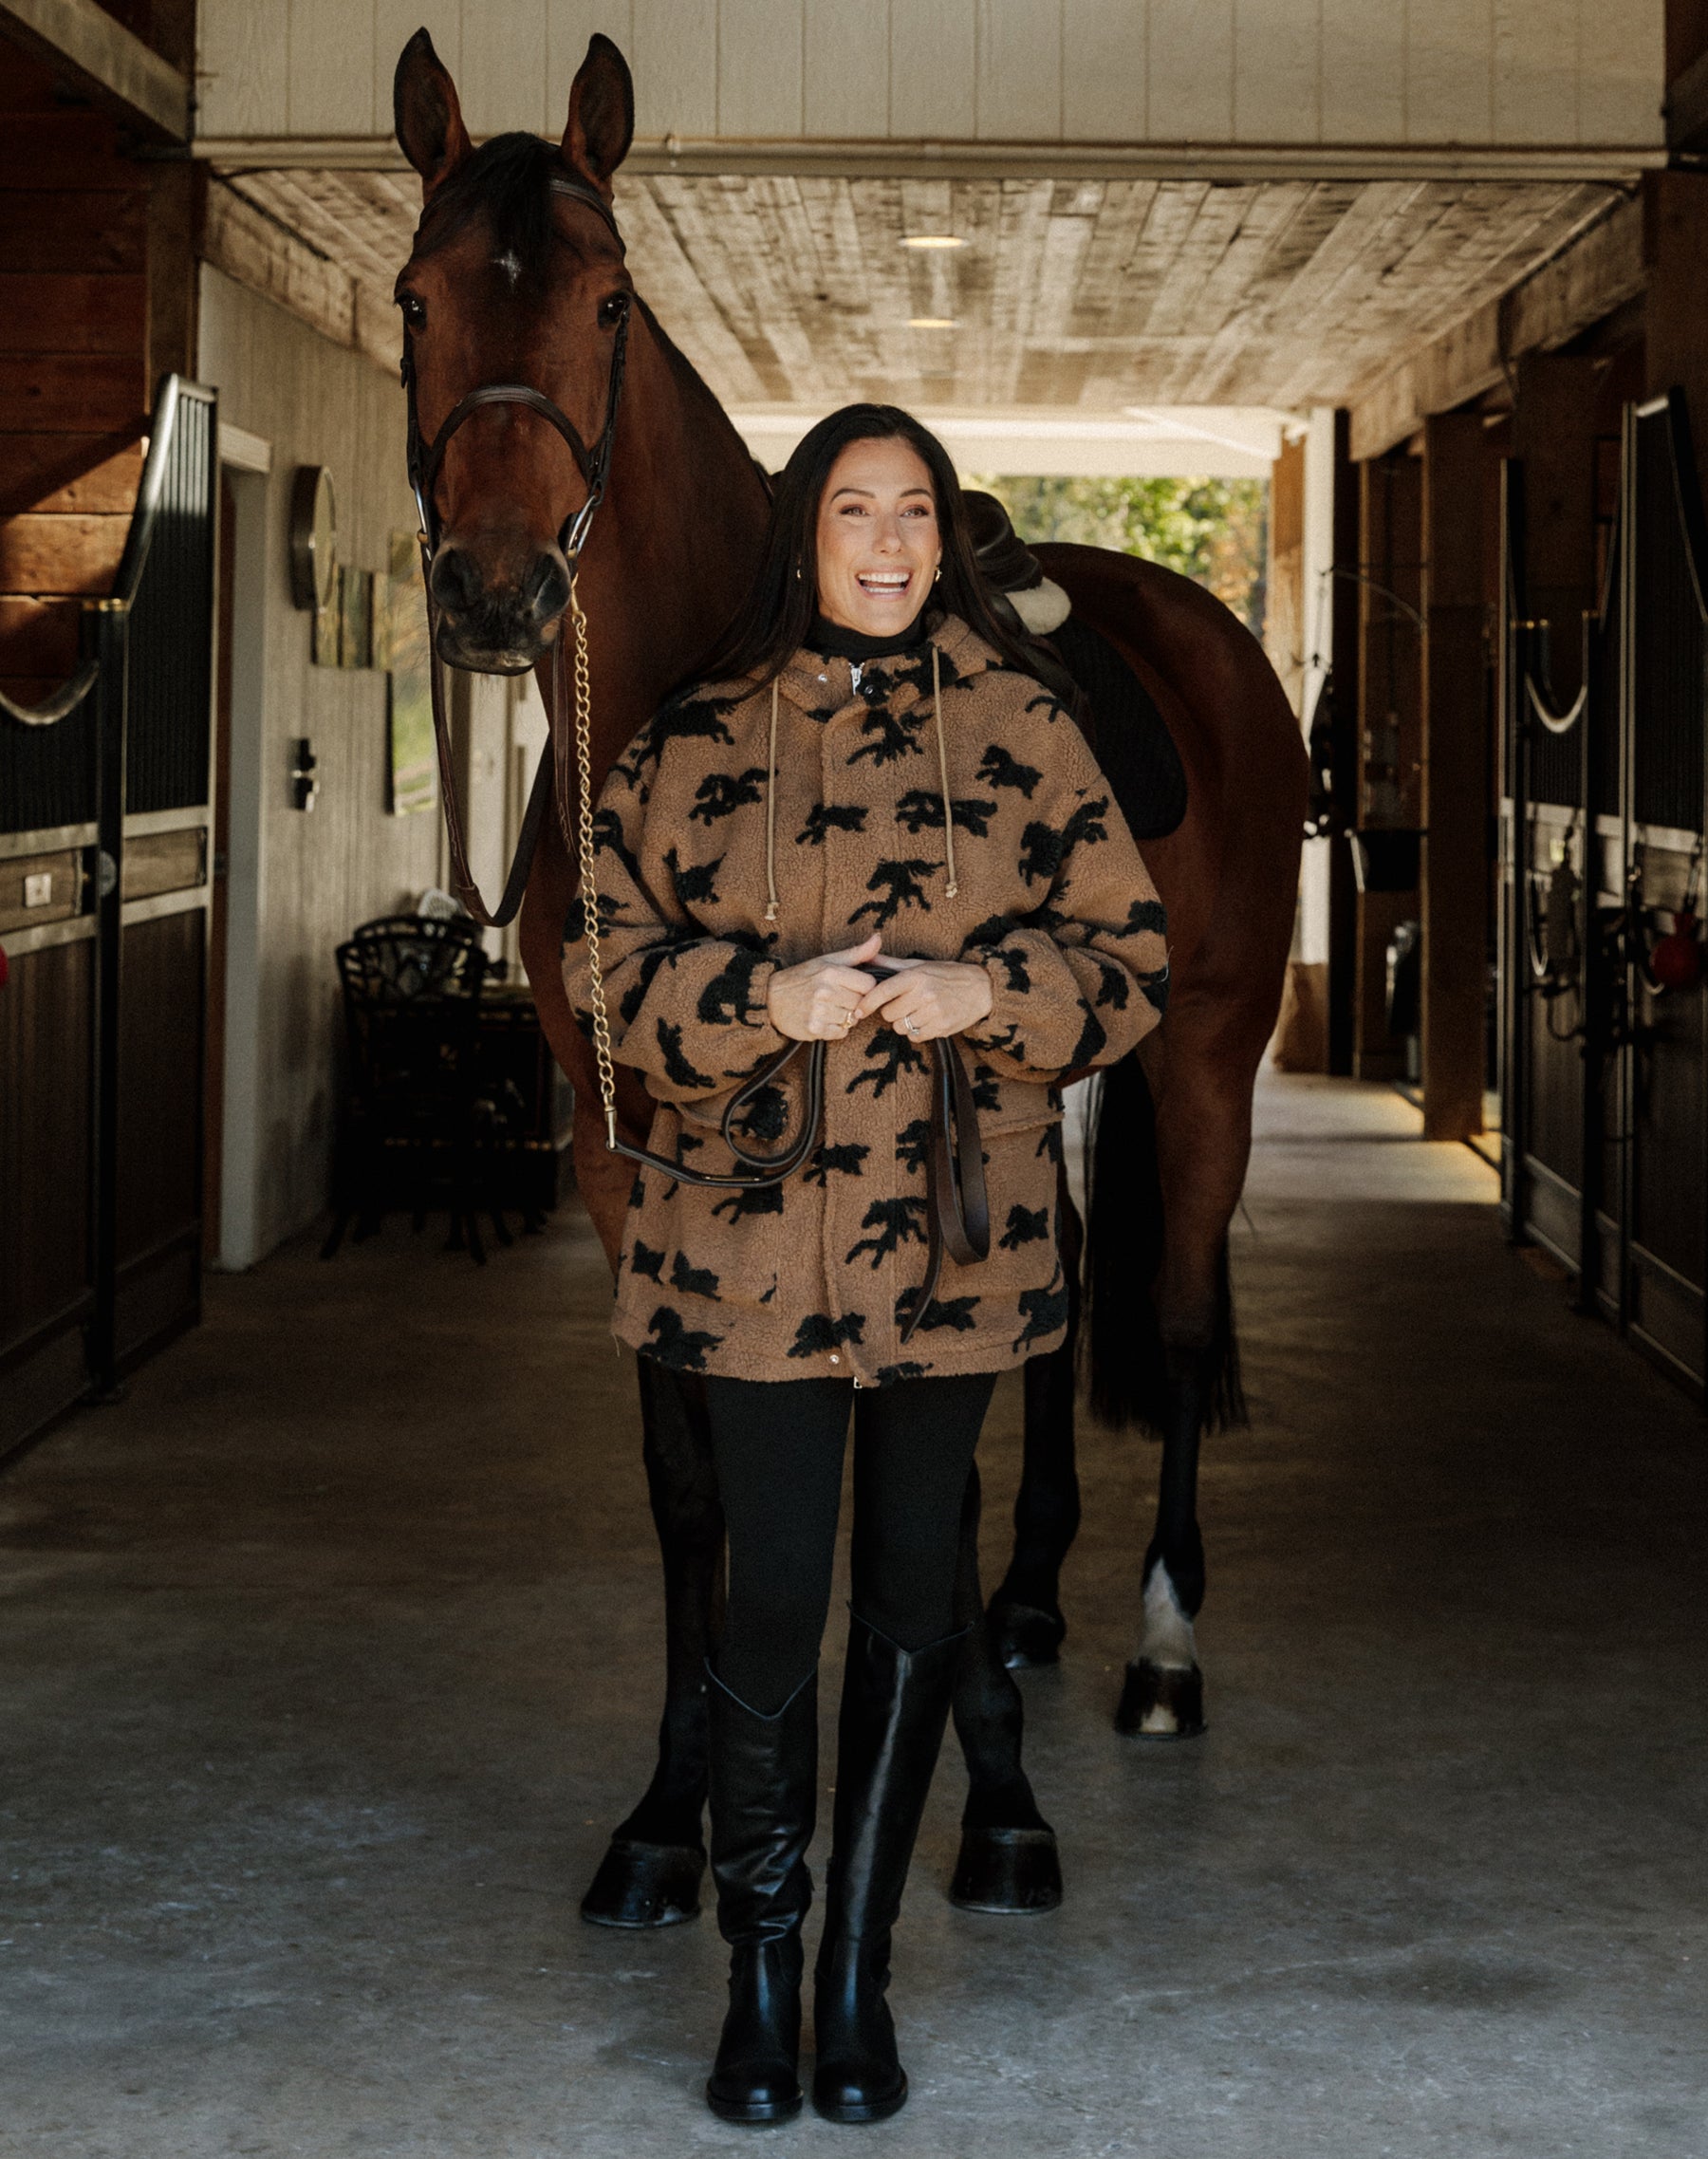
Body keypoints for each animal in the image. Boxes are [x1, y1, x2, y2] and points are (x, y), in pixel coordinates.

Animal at [389, 27, 1304, 1928]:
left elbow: (917, 1486)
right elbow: (694, 1491)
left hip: (1203, 1053)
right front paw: (671, 1813)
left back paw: (1161, 1650)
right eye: (417, 296)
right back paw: (1031, 1603)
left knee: (1177, 1327)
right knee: (1062, 1308)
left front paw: (997, 1801)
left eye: (605, 299)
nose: (496, 593)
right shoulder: (624, 1151)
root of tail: (1210, 635)